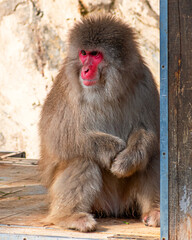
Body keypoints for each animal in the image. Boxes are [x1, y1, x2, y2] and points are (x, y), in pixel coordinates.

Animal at [38, 15, 159, 232]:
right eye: (83, 53)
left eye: (95, 55)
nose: (85, 70)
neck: (107, 88)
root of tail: (115, 209)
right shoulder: (66, 86)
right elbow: (55, 136)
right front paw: (111, 147)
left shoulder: (144, 81)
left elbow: (149, 131)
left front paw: (127, 158)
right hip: (99, 203)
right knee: (82, 158)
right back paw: (69, 216)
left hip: (127, 202)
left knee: (151, 157)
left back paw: (154, 211)